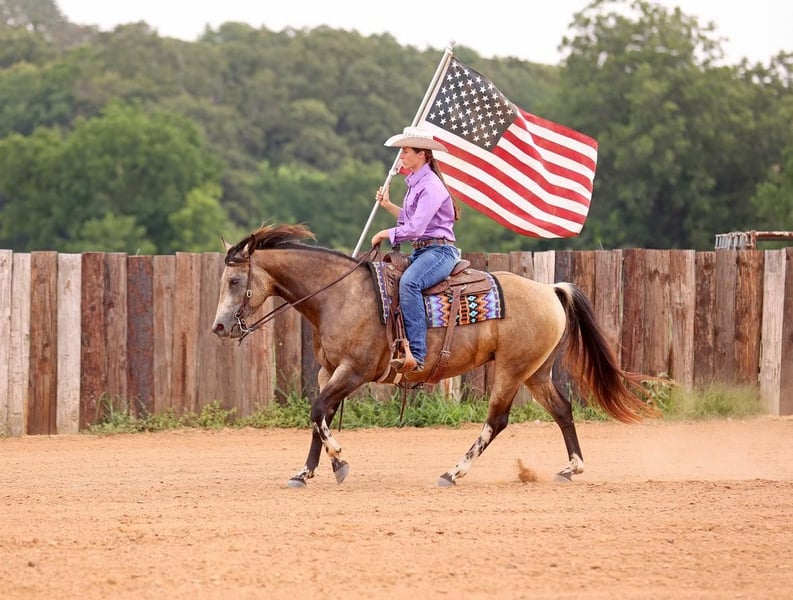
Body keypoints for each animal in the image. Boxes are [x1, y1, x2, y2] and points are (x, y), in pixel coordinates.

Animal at [211, 223, 659, 487]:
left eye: (233, 280)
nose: (219, 327)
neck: (339, 296)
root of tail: (550, 289)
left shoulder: (353, 372)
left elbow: (318, 410)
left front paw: (339, 462)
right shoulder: (329, 371)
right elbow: (317, 416)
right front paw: (304, 472)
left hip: (511, 370)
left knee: (496, 421)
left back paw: (453, 472)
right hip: (536, 371)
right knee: (563, 409)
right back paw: (571, 468)